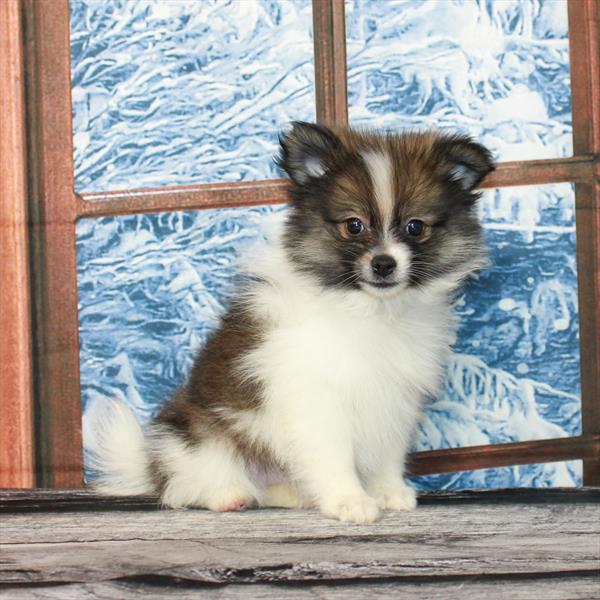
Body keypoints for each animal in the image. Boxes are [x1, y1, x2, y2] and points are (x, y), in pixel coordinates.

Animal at [94, 122, 494, 520]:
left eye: (415, 227)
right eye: (354, 225)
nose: (383, 263)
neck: (369, 308)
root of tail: (149, 468)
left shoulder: (396, 398)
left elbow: (387, 453)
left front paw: (388, 491)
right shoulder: (317, 396)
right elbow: (335, 456)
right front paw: (350, 500)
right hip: (196, 433)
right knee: (187, 481)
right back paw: (228, 495)